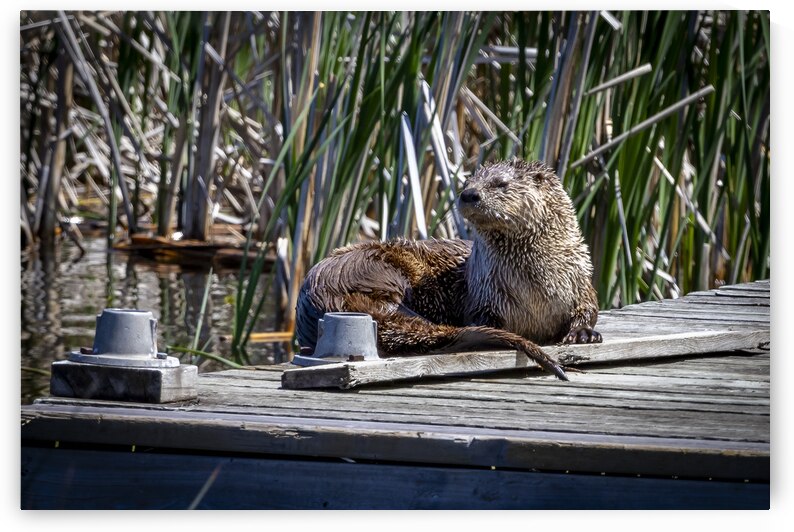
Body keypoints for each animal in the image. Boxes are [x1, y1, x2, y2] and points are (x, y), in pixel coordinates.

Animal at [295, 159, 601, 380]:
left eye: (500, 183)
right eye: (467, 181)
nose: (469, 194)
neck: (536, 288)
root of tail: (325, 292)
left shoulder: (581, 280)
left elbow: (589, 309)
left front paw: (583, 333)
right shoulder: (486, 296)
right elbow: (481, 319)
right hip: (379, 269)